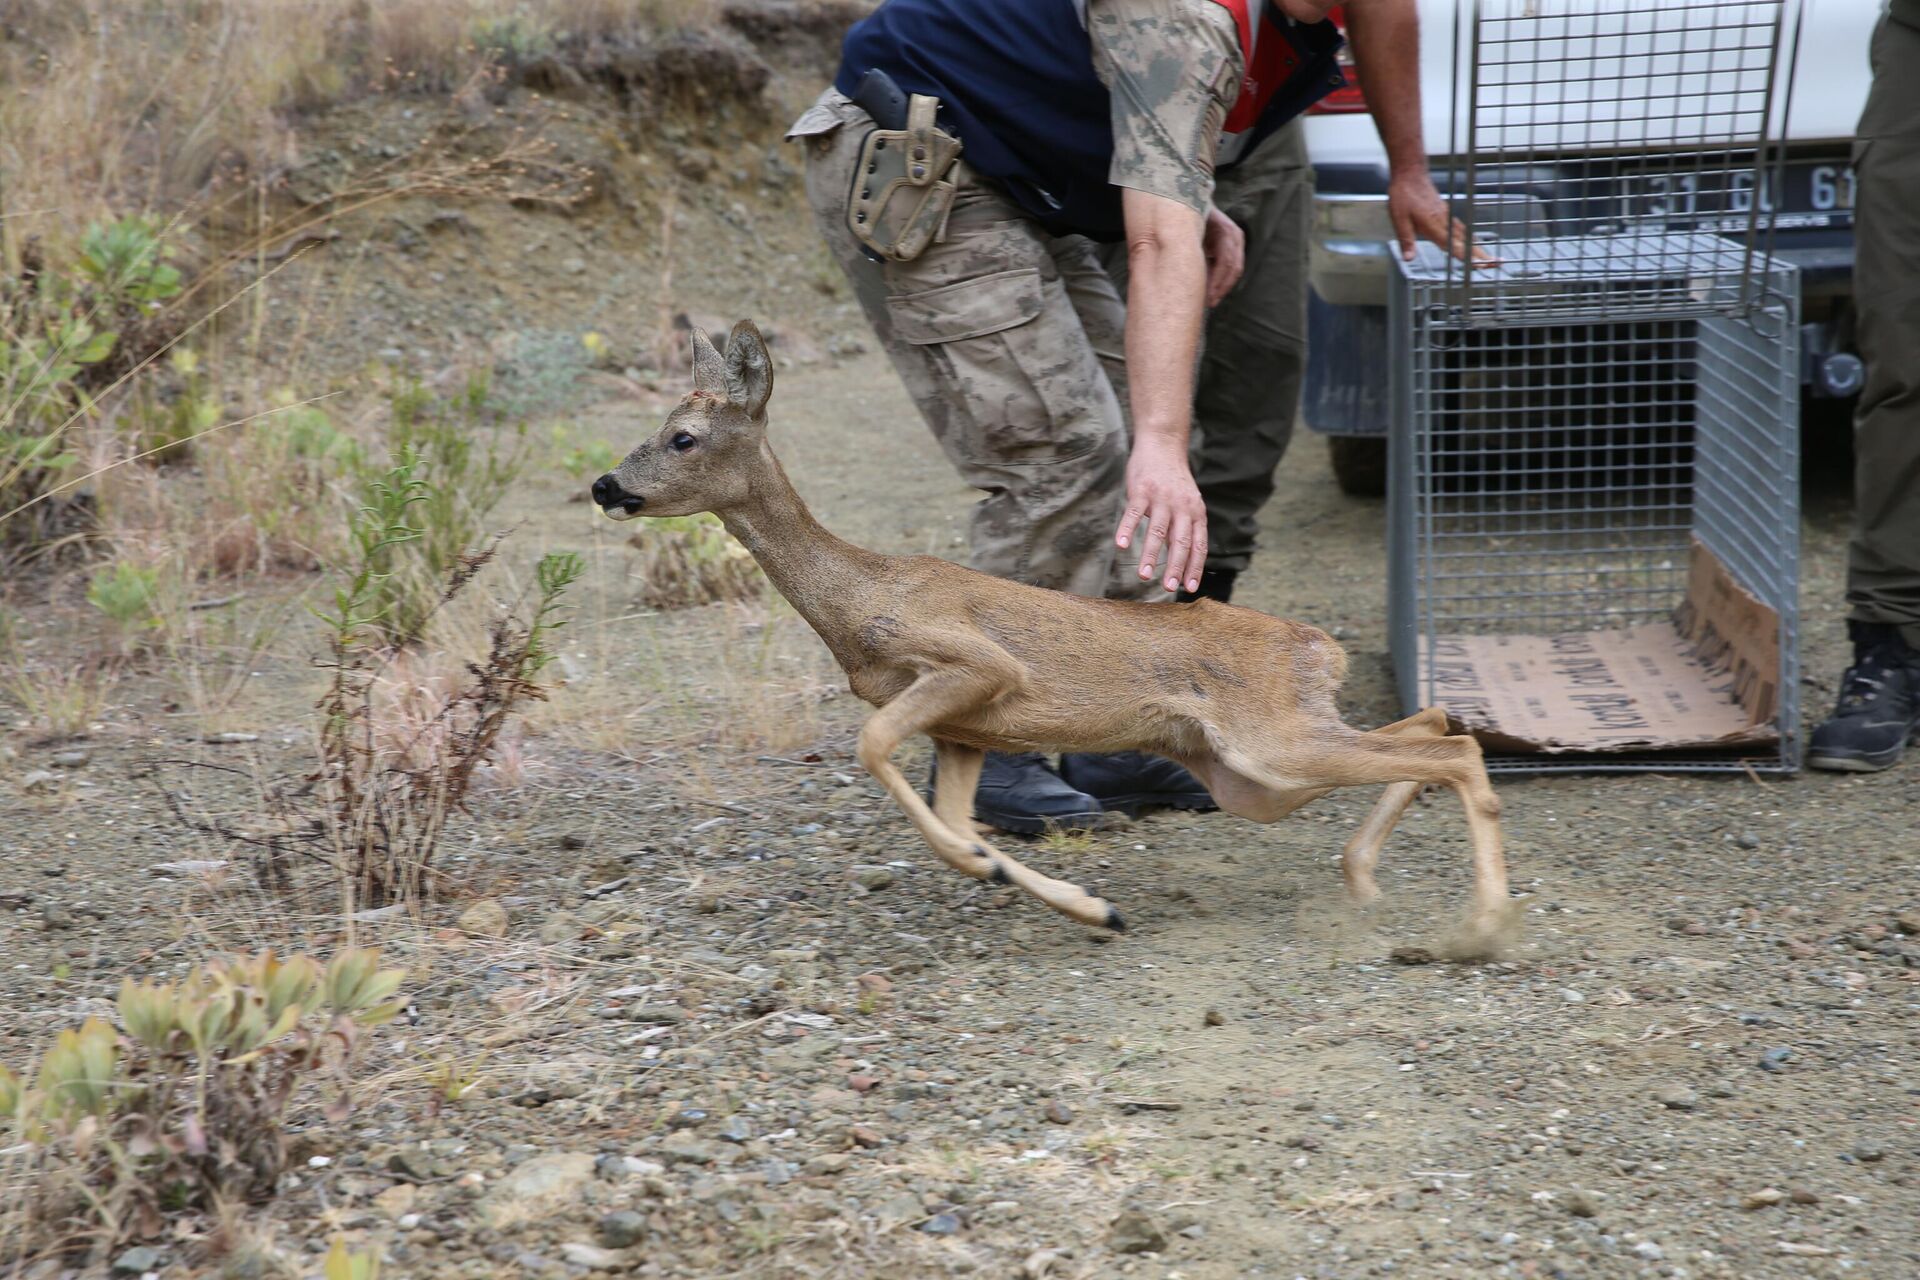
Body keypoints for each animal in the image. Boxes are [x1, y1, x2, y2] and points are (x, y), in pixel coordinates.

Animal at [591, 322, 1520, 951]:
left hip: (1271, 743)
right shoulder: (966, 729)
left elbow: (874, 746)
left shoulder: (975, 665)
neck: (859, 600)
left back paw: (1479, 925)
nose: (605, 484)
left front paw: (1037, 884)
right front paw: (1083, 903)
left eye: (683, 436)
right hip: (1251, 774)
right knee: (1431, 727)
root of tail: (1320, 646)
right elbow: (956, 821)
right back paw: (1367, 886)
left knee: (1452, 747)